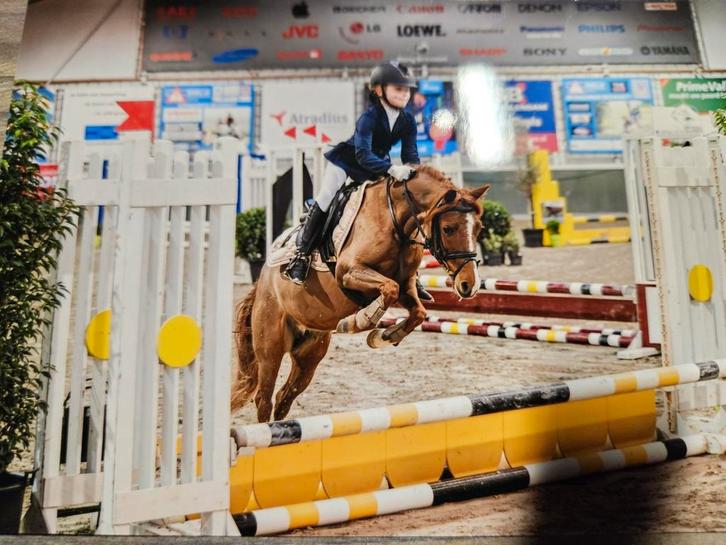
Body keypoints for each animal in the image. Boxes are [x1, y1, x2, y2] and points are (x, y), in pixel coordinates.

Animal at [233, 165, 490, 422]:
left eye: (478, 228)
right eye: (448, 229)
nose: (469, 285)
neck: (395, 222)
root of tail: (261, 282)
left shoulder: (407, 284)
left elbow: (417, 311)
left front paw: (385, 336)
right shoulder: (348, 272)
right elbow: (388, 288)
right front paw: (359, 321)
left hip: (310, 353)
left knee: (284, 397)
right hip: (271, 346)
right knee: (264, 398)